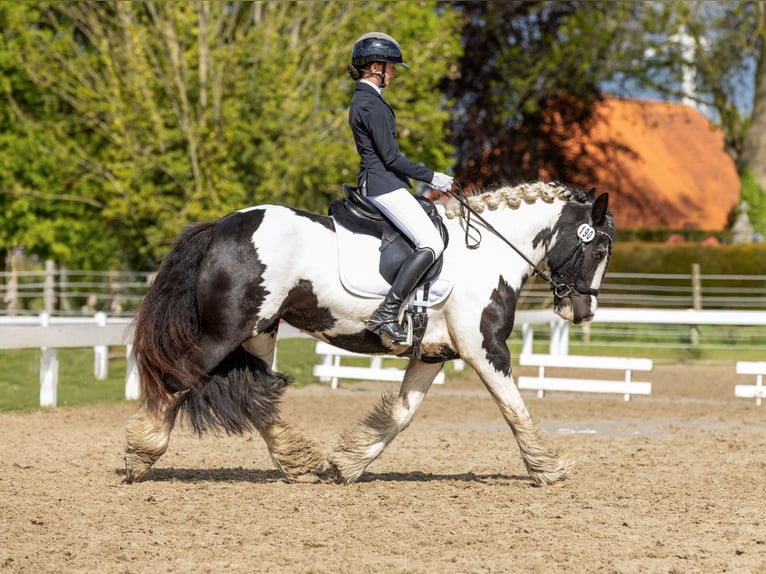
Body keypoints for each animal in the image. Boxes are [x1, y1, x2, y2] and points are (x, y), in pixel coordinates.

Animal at [124, 181, 615, 486]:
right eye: (599, 248)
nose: (583, 310)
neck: (488, 251)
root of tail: (221, 226)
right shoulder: (486, 349)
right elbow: (515, 409)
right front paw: (549, 469)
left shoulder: (432, 355)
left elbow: (402, 414)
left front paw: (348, 464)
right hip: (224, 333)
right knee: (181, 380)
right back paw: (140, 457)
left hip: (258, 333)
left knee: (254, 395)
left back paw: (297, 463)